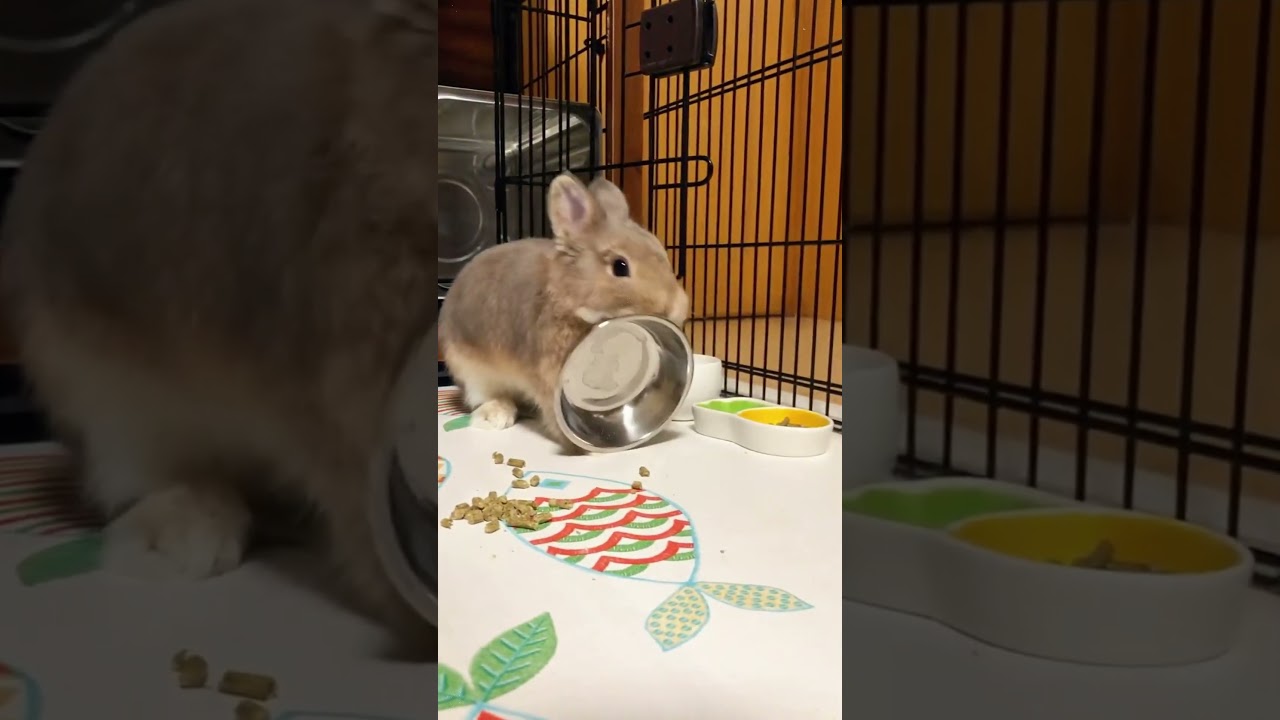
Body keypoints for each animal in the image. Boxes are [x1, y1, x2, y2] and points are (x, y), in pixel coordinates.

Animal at [438, 172, 690, 449]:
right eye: (620, 266)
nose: (677, 307)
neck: (566, 295)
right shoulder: (548, 373)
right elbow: (552, 409)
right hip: (472, 372)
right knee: (483, 396)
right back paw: (497, 415)